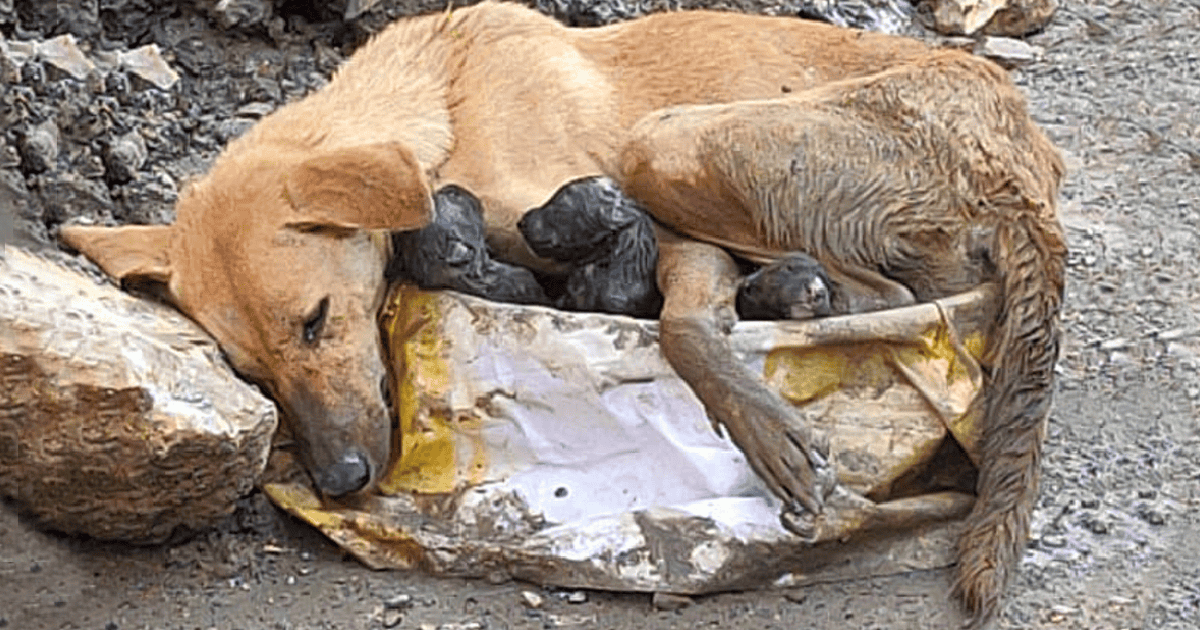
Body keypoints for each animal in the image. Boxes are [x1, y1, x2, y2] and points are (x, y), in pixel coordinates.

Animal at [60, 3, 1065, 625]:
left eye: (315, 320)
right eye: (251, 373)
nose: (342, 482)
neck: (445, 109)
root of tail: (1022, 154)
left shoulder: (658, 233)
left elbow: (681, 327)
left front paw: (759, 423)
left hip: (669, 141)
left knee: (885, 299)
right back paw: (782, 290)